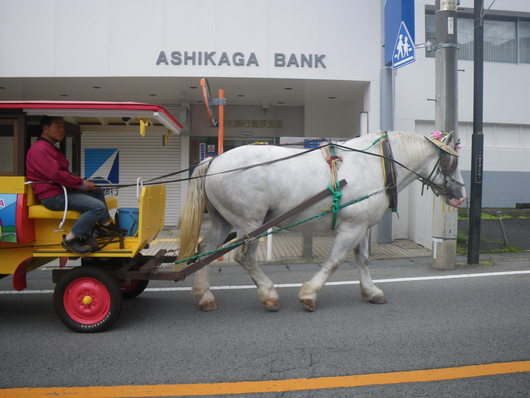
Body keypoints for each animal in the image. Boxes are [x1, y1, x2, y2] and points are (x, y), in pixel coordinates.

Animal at [176, 132, 462, 312]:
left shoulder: (362, 225)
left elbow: (363, 260)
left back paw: (204, 296)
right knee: (244, 258)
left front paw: (371, 291)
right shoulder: (352, 227)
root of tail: (214, 159)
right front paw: (309, 293)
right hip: (250, 223)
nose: (462, 195)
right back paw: (268, 294)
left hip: (222, 220)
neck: (377, 164)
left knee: (205, 250)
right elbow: (334, 261)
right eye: (452, 161)